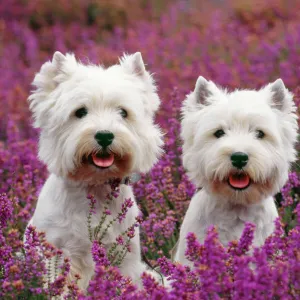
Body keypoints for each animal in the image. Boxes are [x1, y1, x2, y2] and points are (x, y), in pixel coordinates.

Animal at [26, 51, 164, 290]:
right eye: (80, 112)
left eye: (123, 112)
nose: (105, 135)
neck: (95, 187)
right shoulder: (56, 249)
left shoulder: (126, 255)